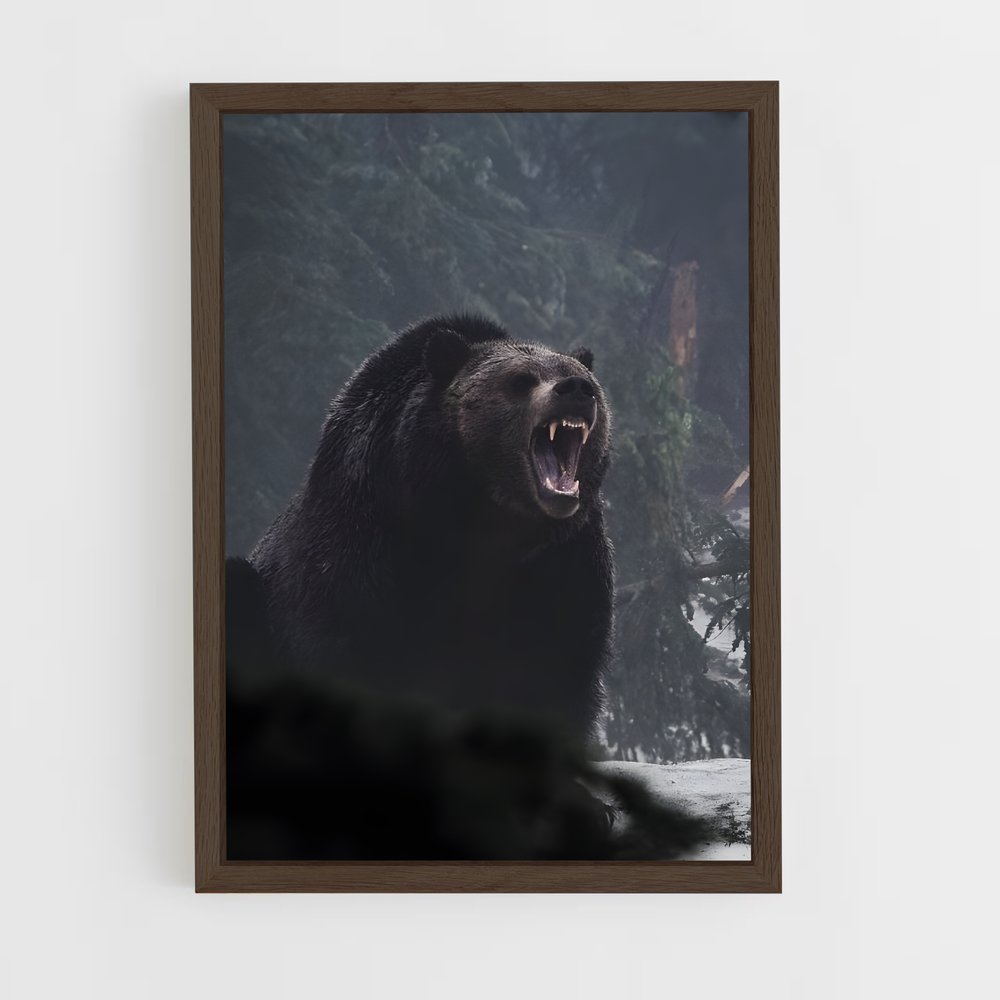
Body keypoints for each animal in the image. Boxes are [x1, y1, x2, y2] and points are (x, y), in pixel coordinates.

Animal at [242, 314, 614, 744]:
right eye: (521, 380)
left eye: (583, 378)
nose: (576, 390)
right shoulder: (363, 536)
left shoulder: (565, 561)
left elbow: (557, 672)